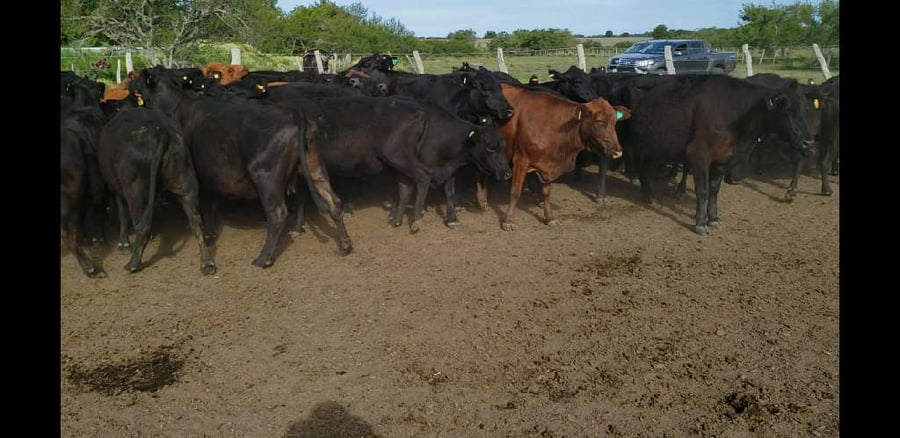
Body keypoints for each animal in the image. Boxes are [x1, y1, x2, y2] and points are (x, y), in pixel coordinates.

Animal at [98, 106, 217, 275]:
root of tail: (161, 133)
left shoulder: (117, 189)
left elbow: (122, 214)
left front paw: (123, 244)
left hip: (135, 191)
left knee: (142, 225)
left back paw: (133, 264)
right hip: (185, 181)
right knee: (196, 222)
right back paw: (207, 263)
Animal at [129, 66, 353, 268]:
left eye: (141, 79)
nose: (131, 85)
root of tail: (294, 116)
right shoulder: (211, 175)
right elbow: (211, 204)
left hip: (266, 177)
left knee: (278, 214)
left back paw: (262, 259)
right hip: (315, 169)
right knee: (333, 201)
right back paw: (345, 244)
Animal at [476, 84, 629, 231]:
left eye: (615, 121)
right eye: (599, 122)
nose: (617, 151)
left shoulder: (547, 164)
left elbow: (547, 192)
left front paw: (549, 217)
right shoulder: (521, 161)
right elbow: (515, 191)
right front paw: (508, 221)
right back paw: (482, 200)